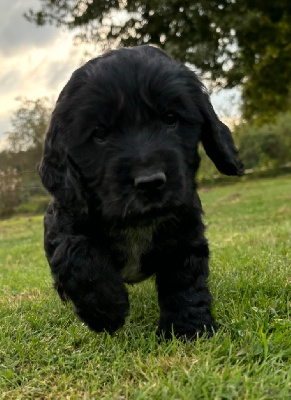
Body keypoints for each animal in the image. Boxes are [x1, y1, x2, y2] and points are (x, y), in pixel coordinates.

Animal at [38, 45, 244, 340]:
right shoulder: (65, 222)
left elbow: (185, 283)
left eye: (170, 119)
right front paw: (106, 310)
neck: (138, 221)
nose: (150, 182)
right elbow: (77, 253)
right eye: (99, 134)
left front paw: (188, 331)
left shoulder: (185, 232)